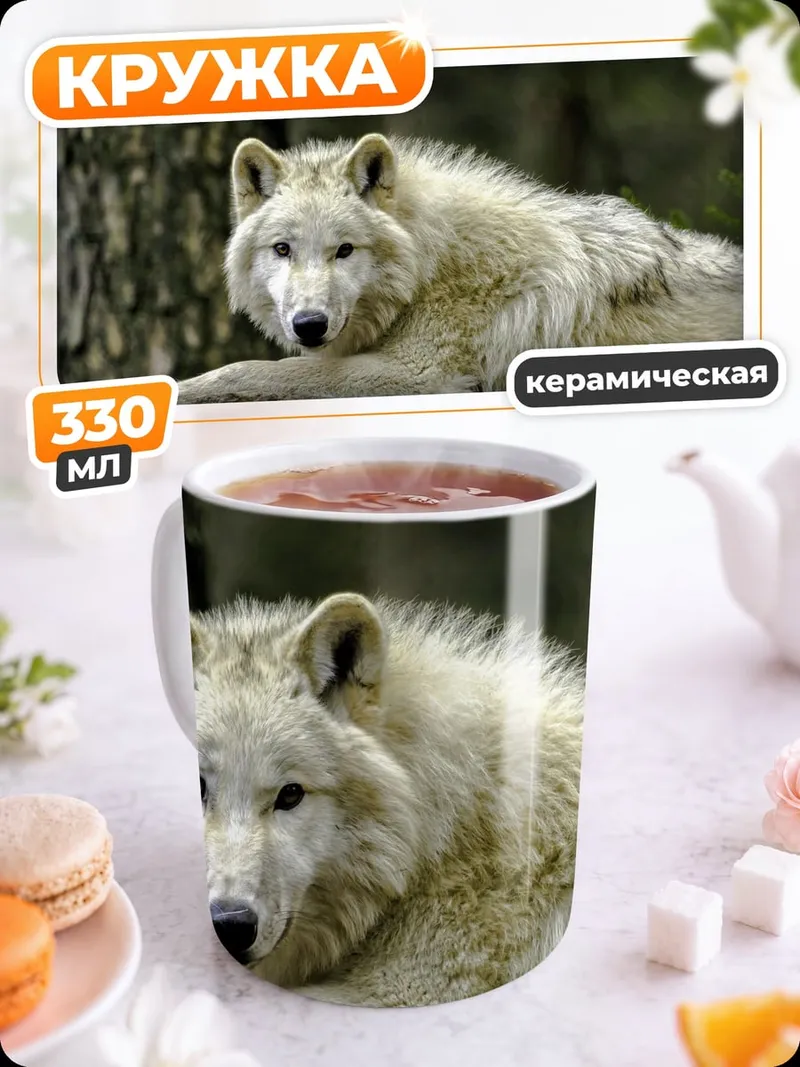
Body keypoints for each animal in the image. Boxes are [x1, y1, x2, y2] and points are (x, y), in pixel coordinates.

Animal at [177, 132, 744, 405]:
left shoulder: (416, 375)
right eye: (282, 249)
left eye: (345, 250)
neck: (430, 265)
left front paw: (179, 391)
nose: (309, 326)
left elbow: (250, 370)